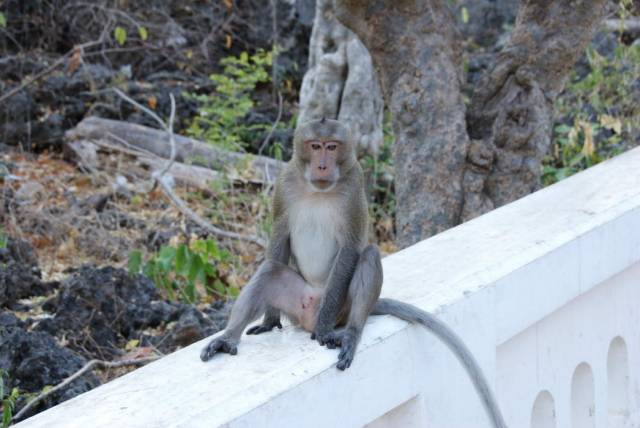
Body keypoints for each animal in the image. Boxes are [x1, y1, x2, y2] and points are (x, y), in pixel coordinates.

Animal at [202, 119, 508, 428]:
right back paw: (227, 339)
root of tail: (310, 313)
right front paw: (269, 320)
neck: (318, 190)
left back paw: (348, 333)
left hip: (341, 306)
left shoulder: (354, 184)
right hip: (297, 302)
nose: (322, 165)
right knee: (270, 271)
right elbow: (279, 241)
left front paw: (326, 329)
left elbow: (351, 248)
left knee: (368, 256)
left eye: (332, 147)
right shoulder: (284, 182)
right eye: (315, 145)